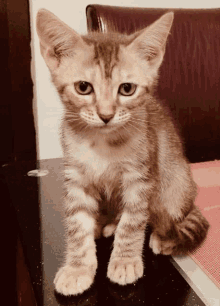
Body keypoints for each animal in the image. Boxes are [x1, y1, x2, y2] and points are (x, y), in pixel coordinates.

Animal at [36, 9, 210, 296]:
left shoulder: (140, 178)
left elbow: (133, 222)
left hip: (173, 189)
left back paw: (160, 237)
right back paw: (105, 224)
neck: (102, 143)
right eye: (83, 87)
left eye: (127, 89)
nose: (106, 115)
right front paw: (77, 268)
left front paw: (125, 261)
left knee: (170, 217)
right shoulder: (76, 178)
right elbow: (76, 225)